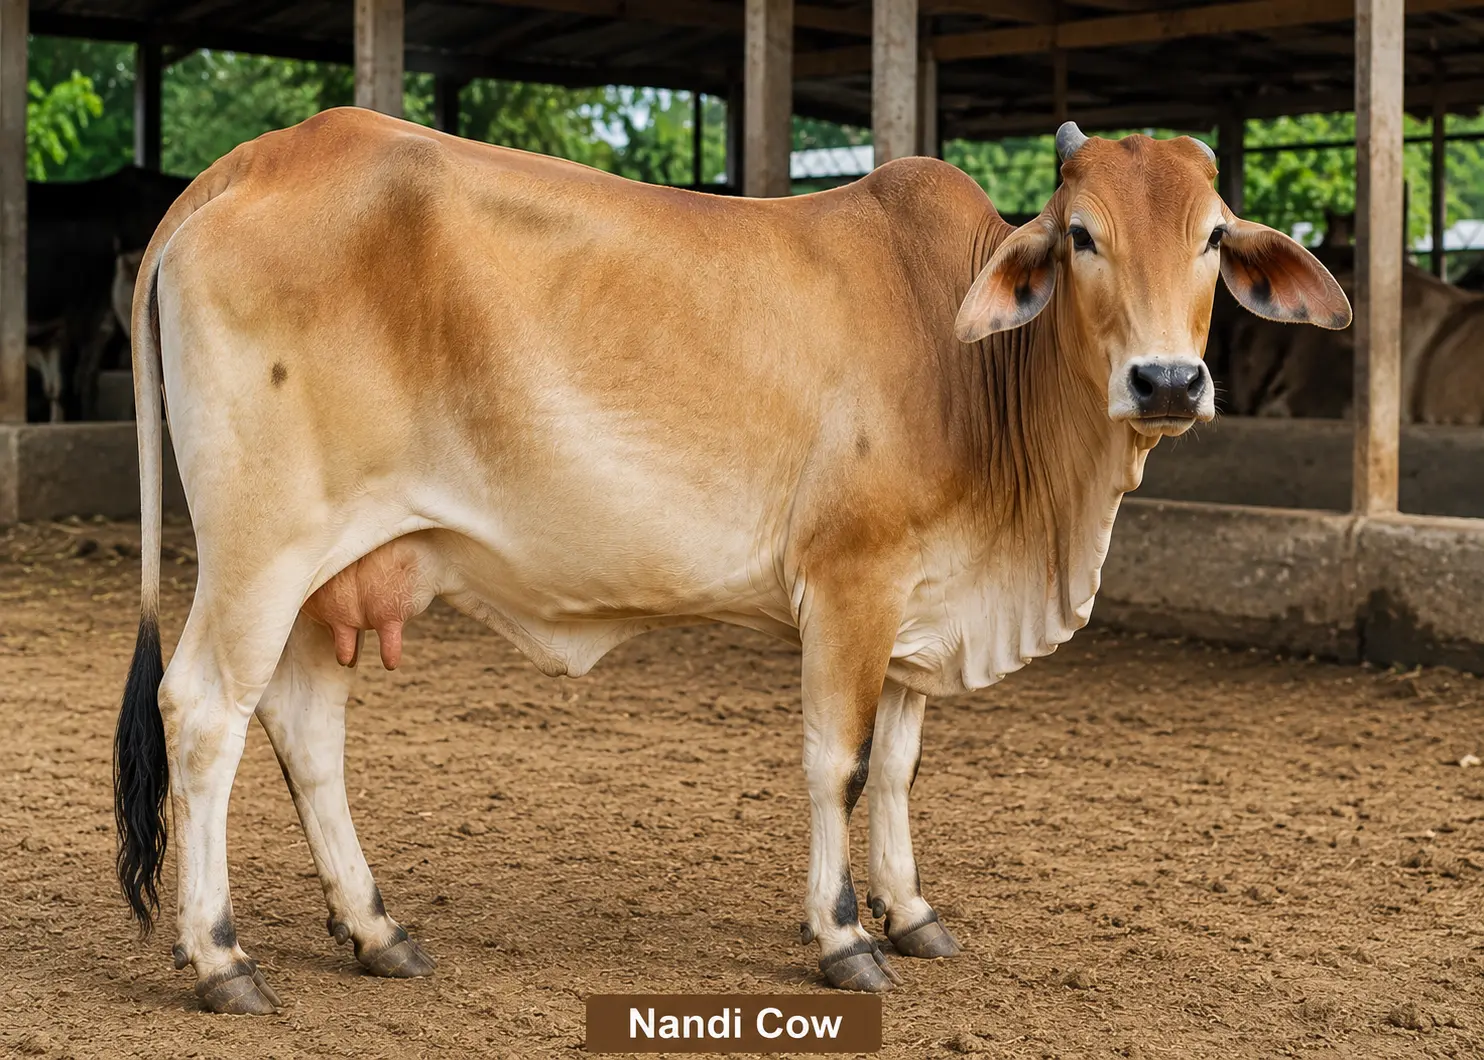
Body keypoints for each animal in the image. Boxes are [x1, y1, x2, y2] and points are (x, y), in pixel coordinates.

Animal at [113, 109, 1349, 1014]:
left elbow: (898, 769)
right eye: (1082, 234)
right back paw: (222, 958)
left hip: (334, 566)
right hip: (261, 546)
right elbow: (837, 764)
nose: (1166, 381)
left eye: (1211, 235)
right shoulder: (848, 585)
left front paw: (912, 912)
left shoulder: (919, 601)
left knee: (303, 725)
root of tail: (244, 165)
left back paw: (374, 928)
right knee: (206, 711)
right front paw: (843, 936)